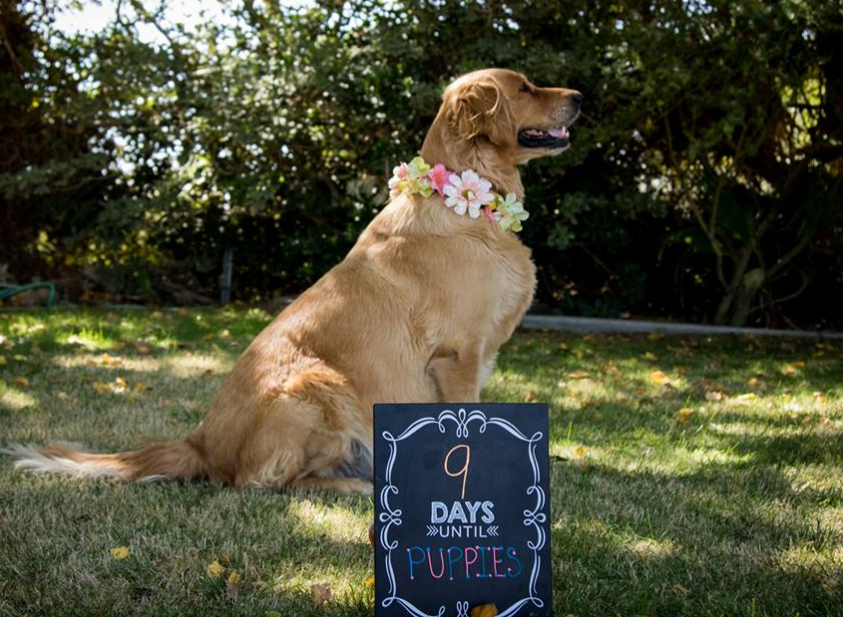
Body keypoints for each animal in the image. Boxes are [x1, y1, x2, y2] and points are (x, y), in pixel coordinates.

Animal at [4, 67, 580, 494]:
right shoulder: (456, 356)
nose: (579, 96)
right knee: (270, 484)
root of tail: (201, 441)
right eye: (523, 88)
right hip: (318, 387)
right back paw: (358, 485)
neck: (467, 198)